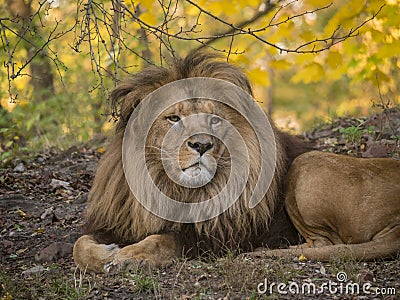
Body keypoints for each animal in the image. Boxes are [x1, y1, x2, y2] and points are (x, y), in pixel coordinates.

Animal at [72, 51, 310, 272]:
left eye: (214, 119)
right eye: (174, 118)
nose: (202, 145)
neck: (174, 189)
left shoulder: (215, 237)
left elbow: (162, 239)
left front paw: (130, 255)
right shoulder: (117, 222)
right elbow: (79, 246)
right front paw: (108, 252)